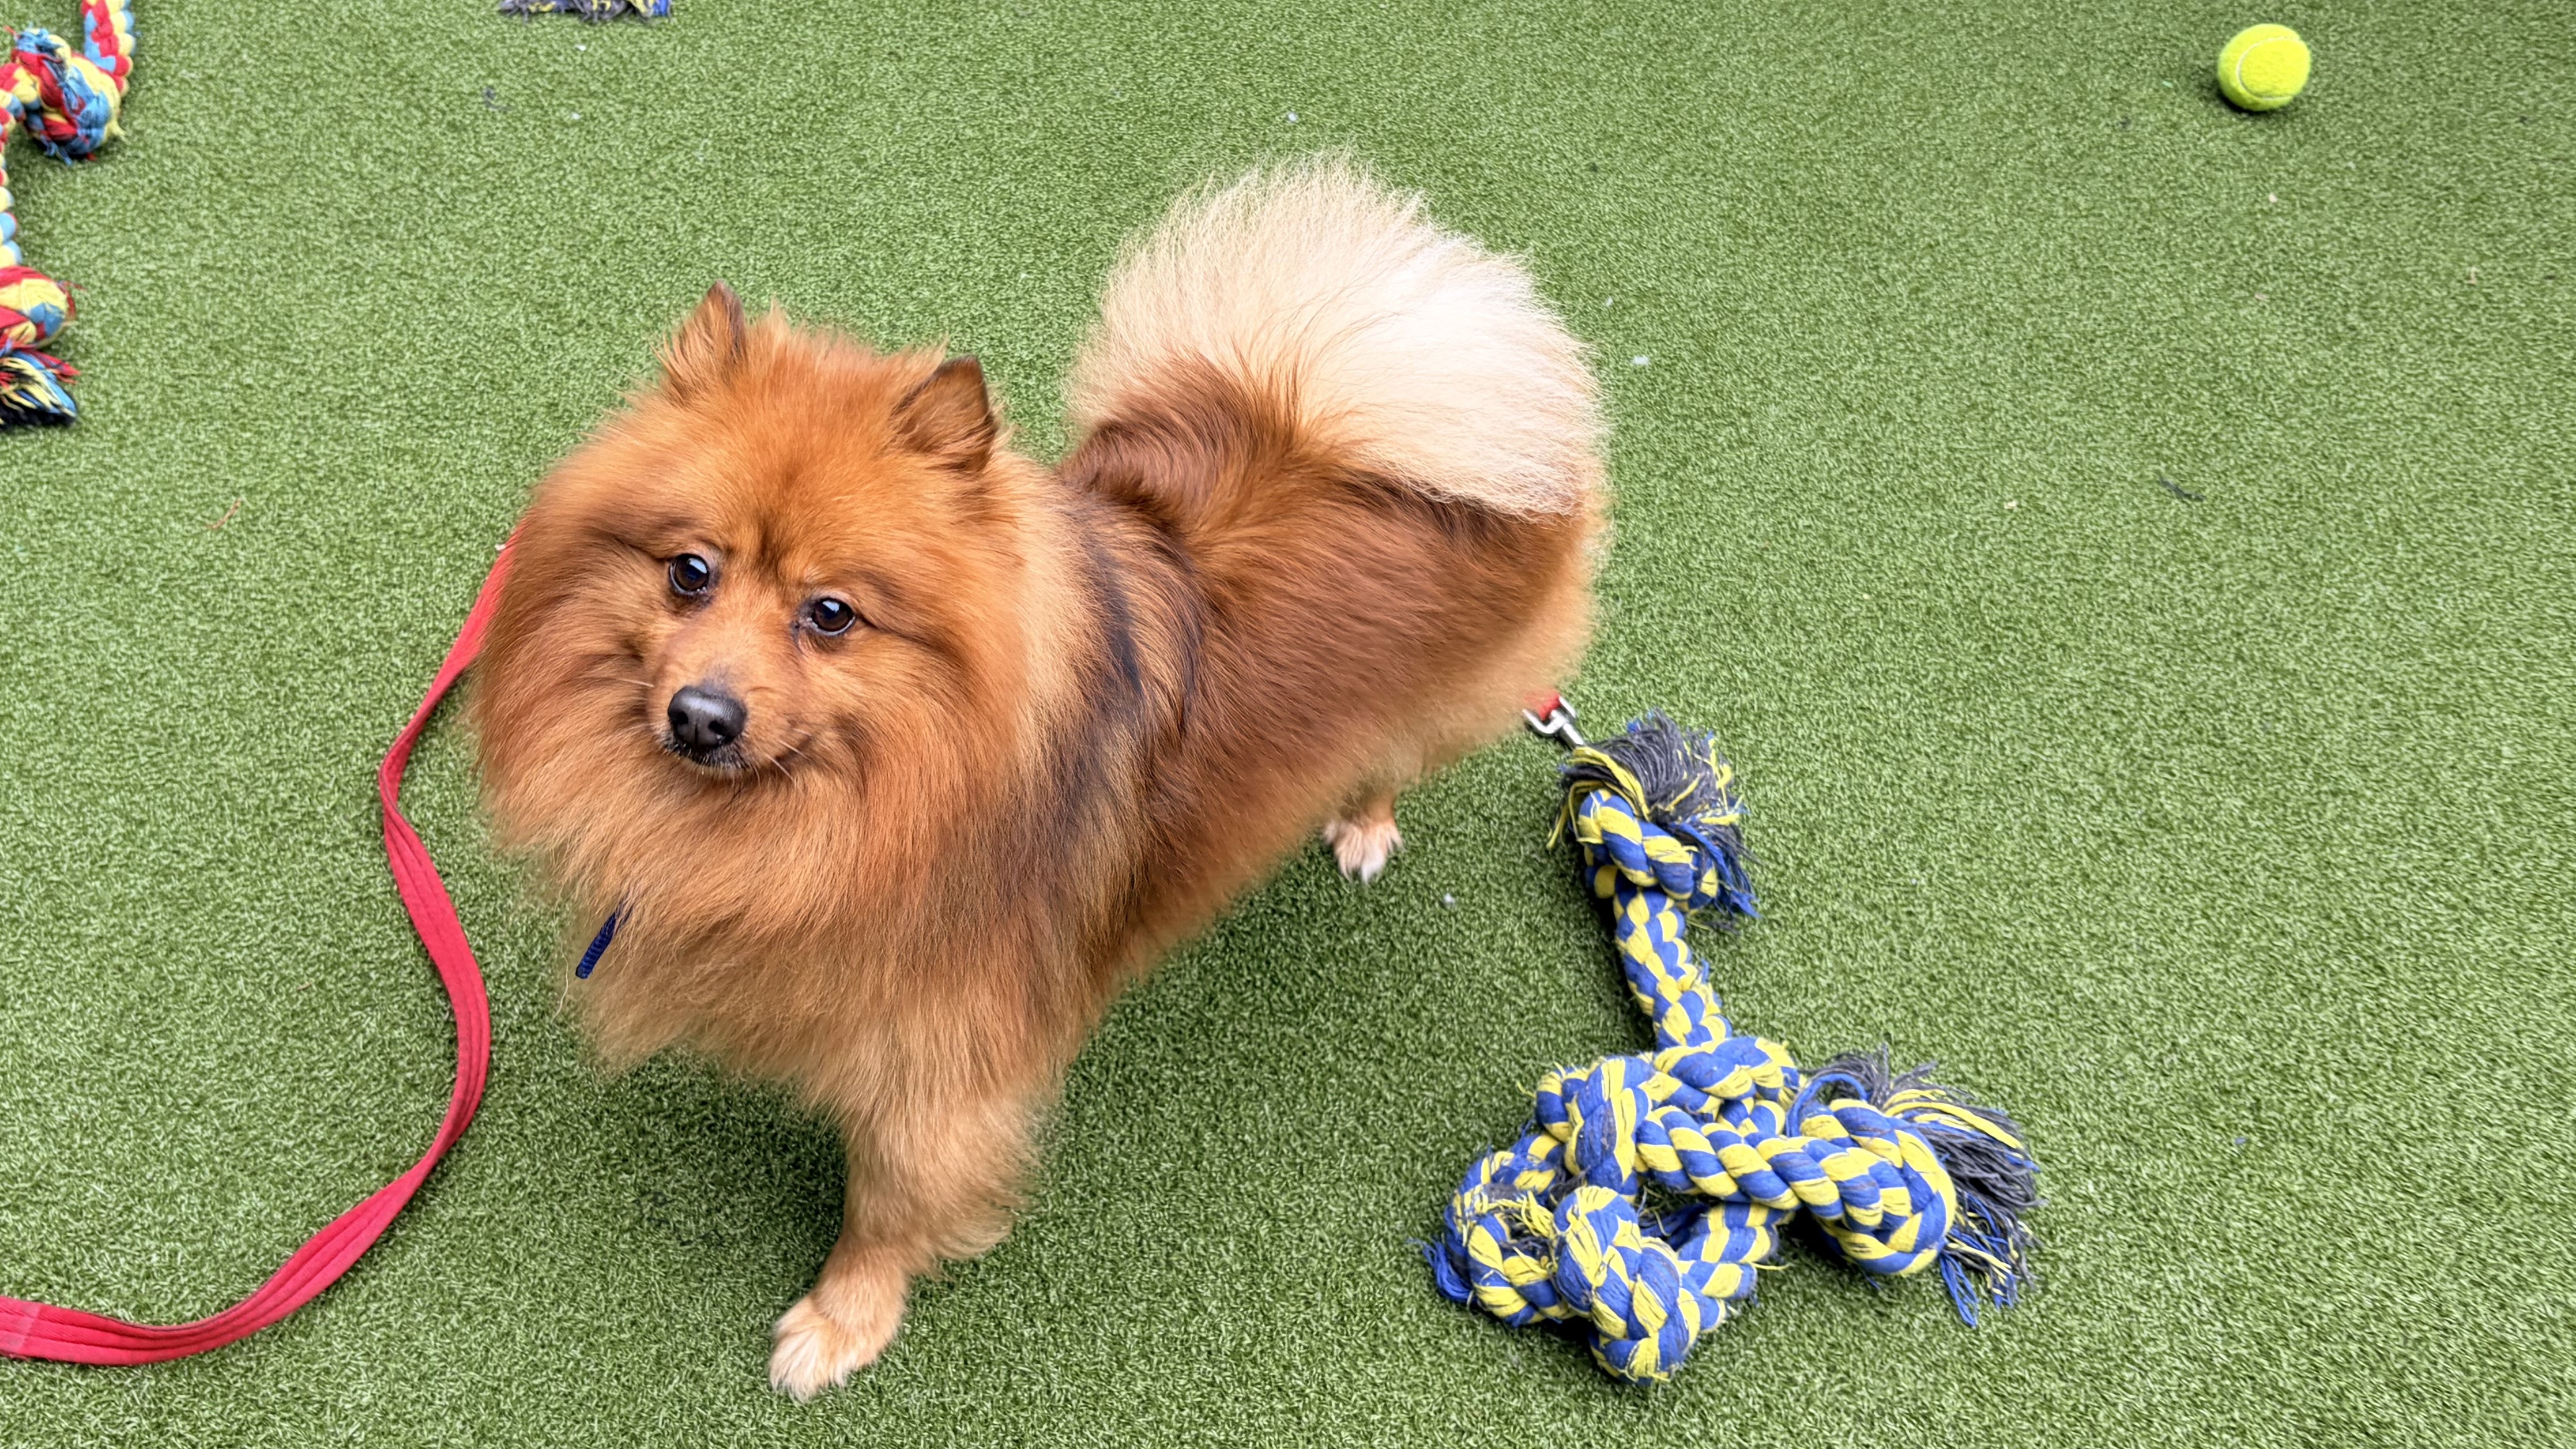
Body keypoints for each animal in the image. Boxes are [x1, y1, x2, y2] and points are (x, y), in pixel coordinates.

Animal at [470, 157, 1605, 1398]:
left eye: (831, 613)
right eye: (688, 572)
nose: (702, 716)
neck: (849, 808)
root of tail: (1361, 397)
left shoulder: (942, 1071)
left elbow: (886, 1205)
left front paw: (841, 1320)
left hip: (1450, 701)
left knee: (1396, 756)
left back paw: (1362, 821)